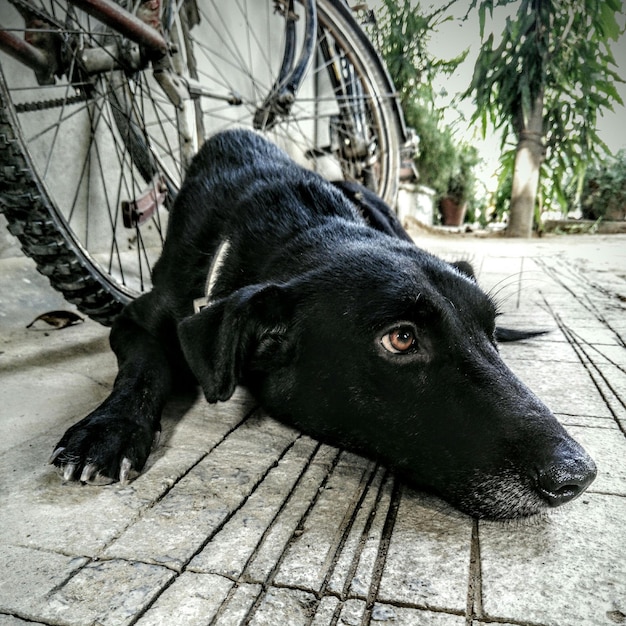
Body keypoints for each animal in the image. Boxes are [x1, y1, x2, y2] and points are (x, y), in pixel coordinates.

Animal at [50, 128, 596, 516]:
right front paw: (108, 429)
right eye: (401, 339)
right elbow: (143, 368)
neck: (291, 222)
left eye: (489, 330)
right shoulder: (135, 319)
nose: (578, 475)